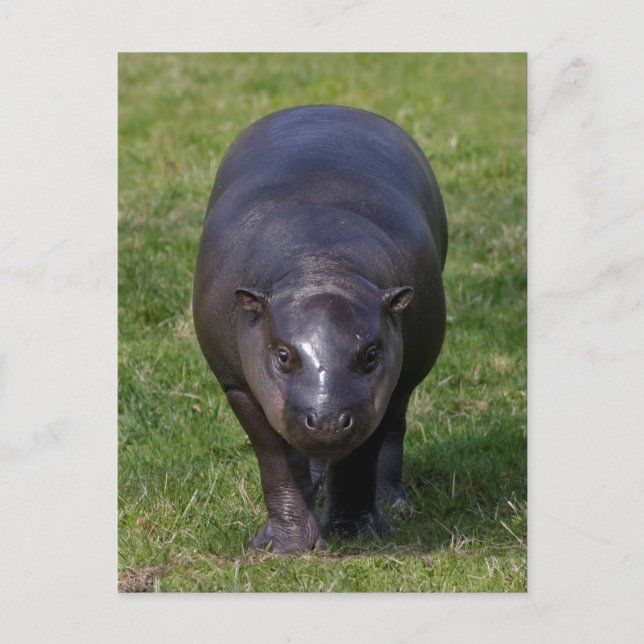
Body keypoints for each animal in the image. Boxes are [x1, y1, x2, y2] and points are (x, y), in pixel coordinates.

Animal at [193, 105, 447, 553]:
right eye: (282, 354)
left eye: (371, 353)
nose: (327, 420)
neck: (320, 262)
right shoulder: (238, 385)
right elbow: (276, 461)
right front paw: (283, 548)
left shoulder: (380, 389)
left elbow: (361, 456)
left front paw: (356, 534)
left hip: (403, 381)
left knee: (393, 431)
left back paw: (393, 504)